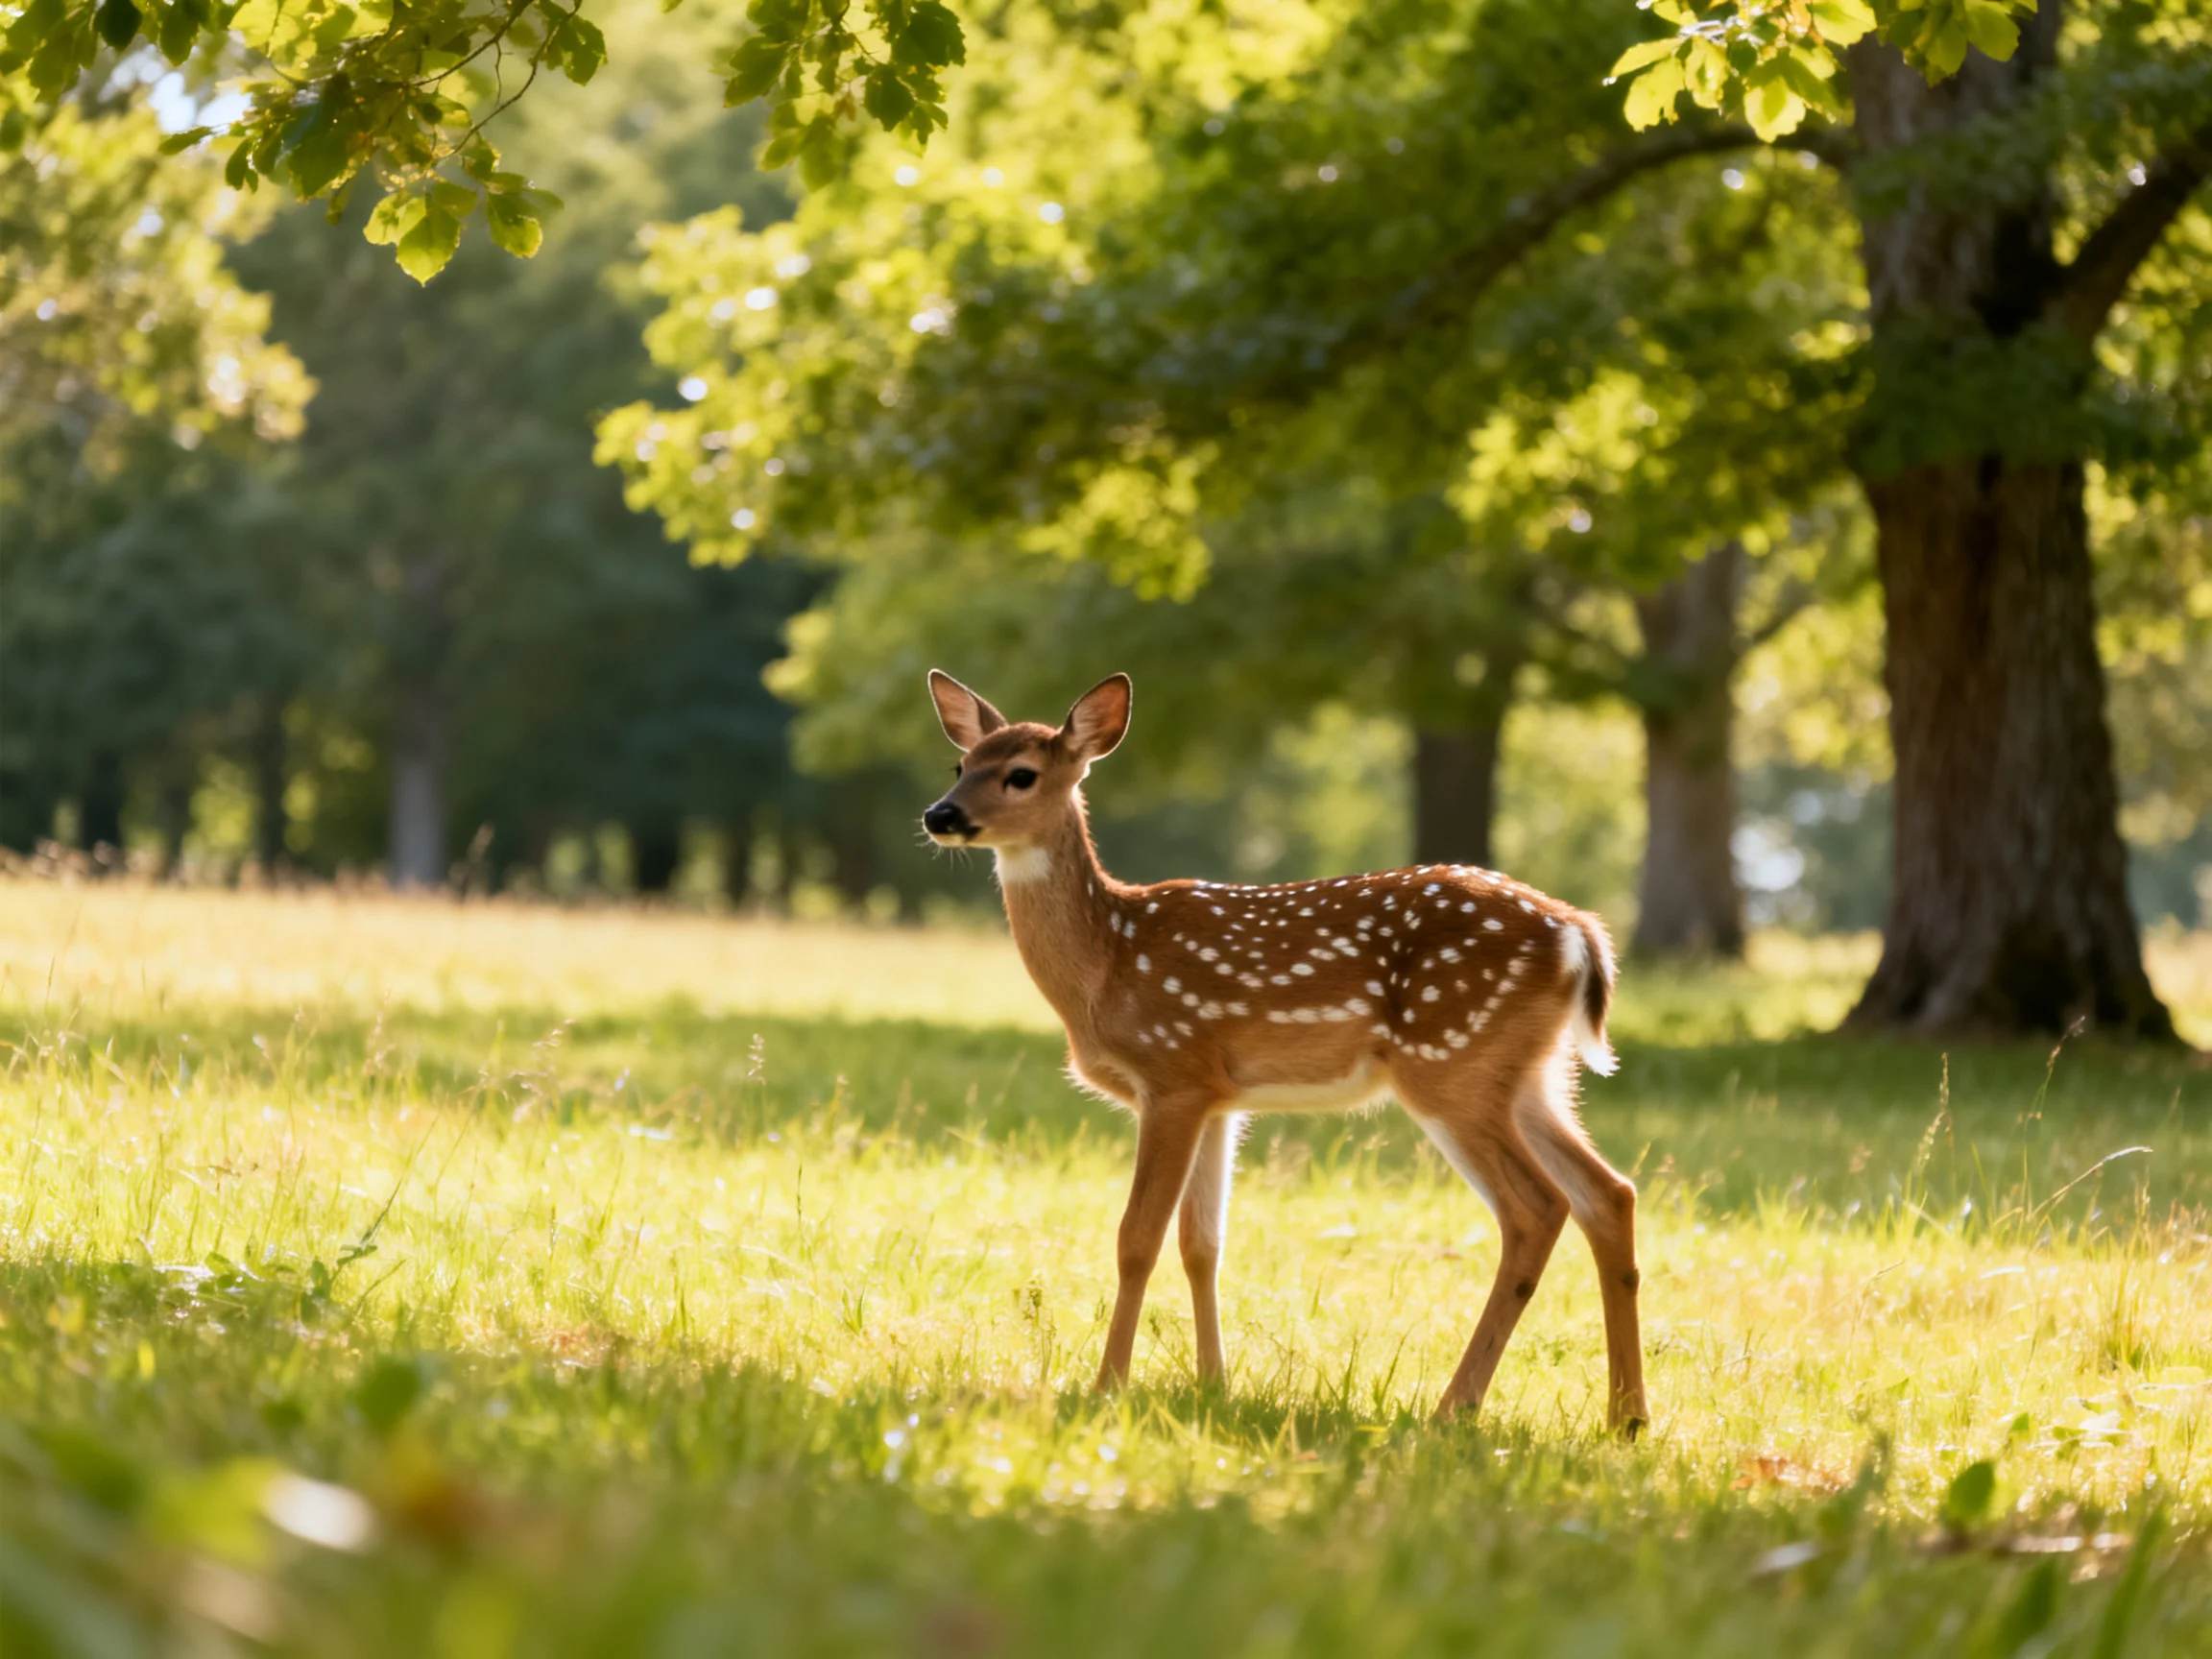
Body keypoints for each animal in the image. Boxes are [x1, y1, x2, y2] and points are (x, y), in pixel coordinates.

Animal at [921, 670, 1648, 1436]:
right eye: (961, 765)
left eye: (1021, 774)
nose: (939, 815)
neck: (1107, 963)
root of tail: (1580, 937)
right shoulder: (1219, 1098)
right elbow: (1202, 1244)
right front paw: (1213, 1384)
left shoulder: (1171, 1072)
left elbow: (1137, 1238)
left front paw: (1108, 1385)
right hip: (1533, 1073)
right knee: (1609, 1193)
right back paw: (1626, 1417)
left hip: (1451, 1063)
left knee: (1536, 1208)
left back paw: (1455, 1406)